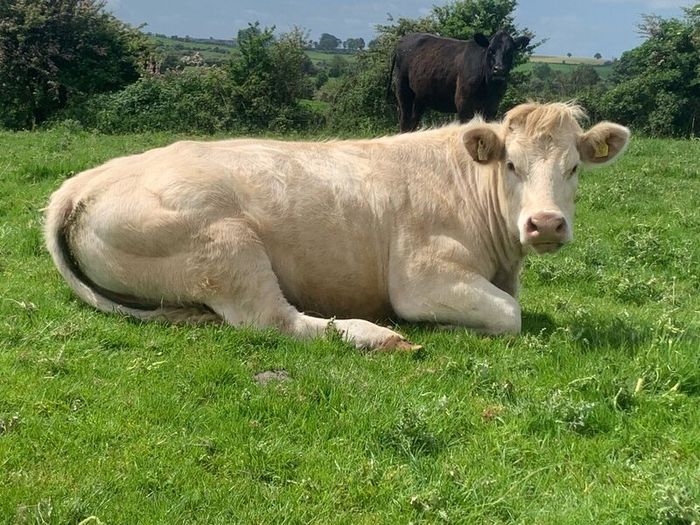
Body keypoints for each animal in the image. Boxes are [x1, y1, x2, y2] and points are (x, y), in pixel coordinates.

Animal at [44, 102, 630, 350]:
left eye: (573, 168)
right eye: (511, 164)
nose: (545, 224)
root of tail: (83, 183)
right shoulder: (423, 278)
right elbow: (510, 314)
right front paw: (446, 327)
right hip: (226, 248)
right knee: (275, 321)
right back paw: (380, 337)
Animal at [390, 30, 530, 132]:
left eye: (510, 51)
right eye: (491, 50)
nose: (499, 70)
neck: (488, 87)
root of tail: (404, 39)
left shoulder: (492, 107)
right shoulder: (464, 104)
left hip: (419, 97)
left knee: (413, 121)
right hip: (402, 90)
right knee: (405, 121)